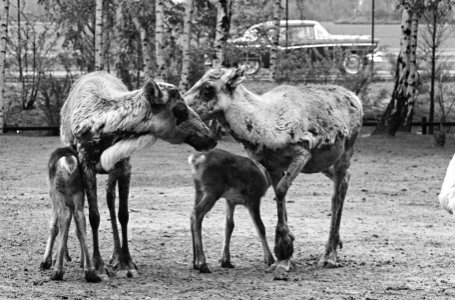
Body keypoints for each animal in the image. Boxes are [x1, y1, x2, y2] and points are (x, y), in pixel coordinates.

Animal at [40, 146, 100, 282]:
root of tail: (69, 162)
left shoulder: (53, 196)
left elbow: (54, 227)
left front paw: (46, 261)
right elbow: (75, 230)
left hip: (57, 191)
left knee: (65, 216)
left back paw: (57, 271)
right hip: (79, 192)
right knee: (80, 218)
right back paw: (90, 271)